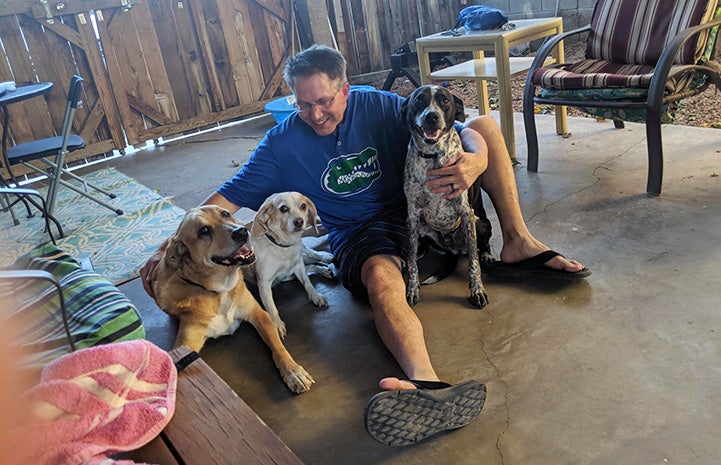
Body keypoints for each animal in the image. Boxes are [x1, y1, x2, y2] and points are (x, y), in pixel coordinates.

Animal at [149, 205, 312, 390]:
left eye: (225, 213)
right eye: (203, 230)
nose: (242, 232)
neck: (219, 290)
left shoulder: (259, 314)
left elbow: (278, 347)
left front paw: (293, 371)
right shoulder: (185, 344)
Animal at [246, 190, 336, 336]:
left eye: (303, 206)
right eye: (283, 208)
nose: (299, 222)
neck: (282, 247)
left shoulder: (298, 267)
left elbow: (308, 283)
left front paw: (315, 295)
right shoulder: (264, 283)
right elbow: (271, 307)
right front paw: (277, 324)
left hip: (298, 257)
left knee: (310, 254)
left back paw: (325, 257)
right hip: (286, 277)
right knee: (309, 264)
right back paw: (324, 269)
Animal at [400, 84, 490, 306]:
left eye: (445, 101)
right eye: (418, 100)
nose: (431, 116)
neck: (433, 156)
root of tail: (453, 250)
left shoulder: (466, 213)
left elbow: (473, 262)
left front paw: (477, 289)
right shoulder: (412, 216)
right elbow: (412, 260)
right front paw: (412, 288)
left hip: (480, 224)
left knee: (479, 247)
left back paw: (486, 255)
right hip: (423, 229)